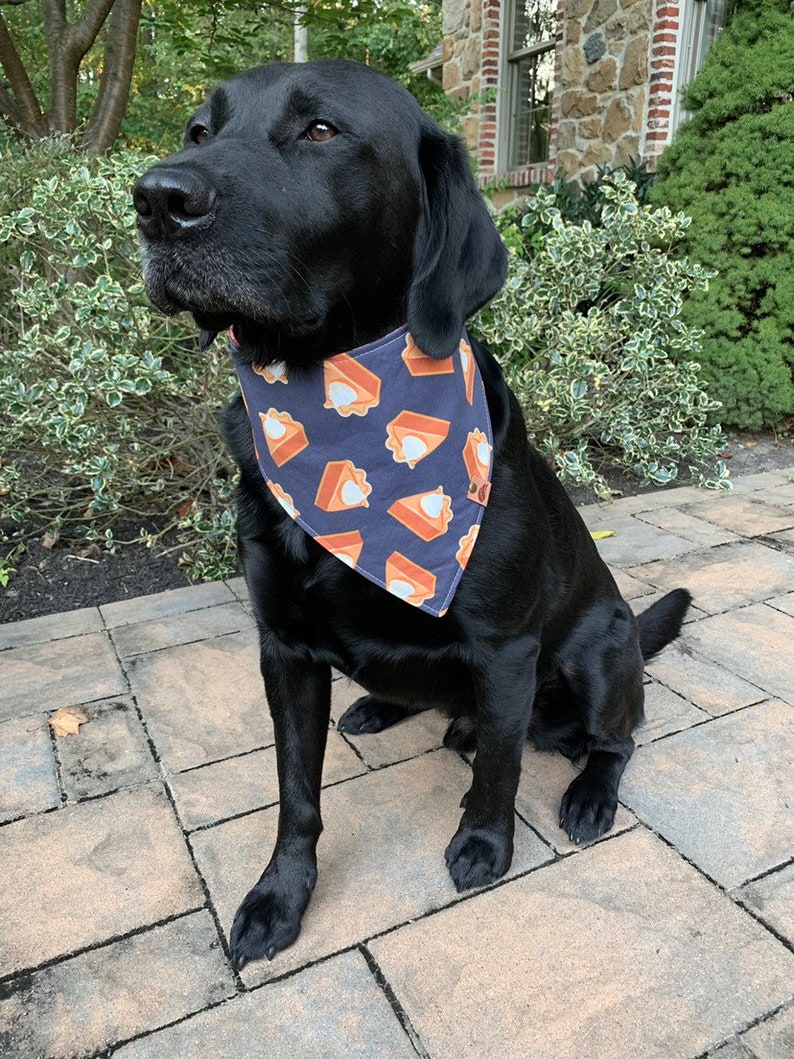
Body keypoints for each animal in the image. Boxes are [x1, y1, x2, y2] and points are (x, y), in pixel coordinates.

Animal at [133, 57, 694, 970]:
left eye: (322, 130)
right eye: (199, 131)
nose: (154, 198)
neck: (338, 406)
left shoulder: (505, 646)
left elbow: (499, 768)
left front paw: (484, 845)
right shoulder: (283, 648)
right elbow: (296, 794)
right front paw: (278, 898)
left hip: (600, 649)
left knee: (615, 738)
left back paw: (587, 792)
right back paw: (385, 705)